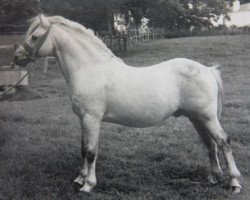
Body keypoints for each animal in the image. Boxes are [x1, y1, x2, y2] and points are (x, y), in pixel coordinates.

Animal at [13, 14, 242, 194]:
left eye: (34, 37)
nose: (16, 57)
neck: (90, 68)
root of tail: (208, 70)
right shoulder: (82, 119)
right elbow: (83, 149)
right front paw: (79, 178)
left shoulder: (92, 119)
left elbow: (91, 151)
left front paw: (88, 185)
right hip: (197, 118)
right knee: (210, 143)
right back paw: (213, 177)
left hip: (207, 117)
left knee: (223, 141)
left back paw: (234, 182)